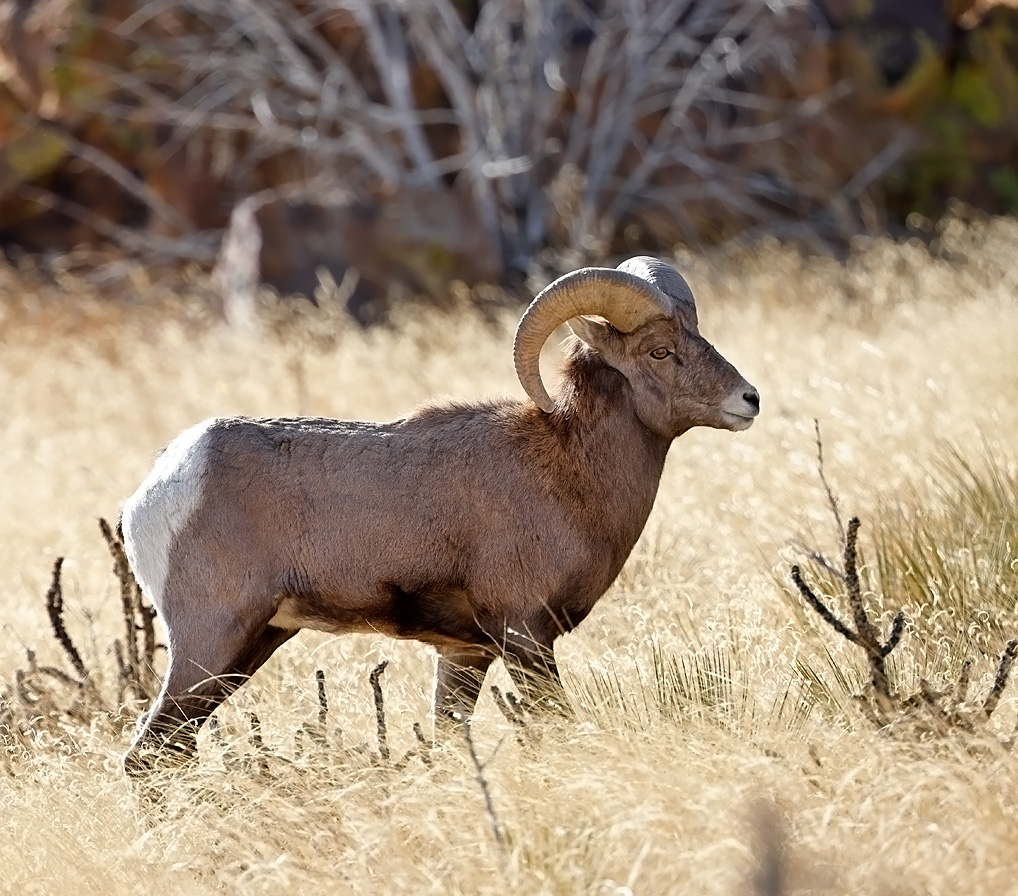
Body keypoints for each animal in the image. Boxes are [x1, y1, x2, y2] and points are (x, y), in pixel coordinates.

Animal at [121, 253, 757, 769]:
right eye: (660, 351)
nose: (749, 400)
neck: (565, 472)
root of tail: (157, 489)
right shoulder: (526, 639)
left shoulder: (464, 653)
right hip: (212, 643)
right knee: (148, 755)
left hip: (253, 644)